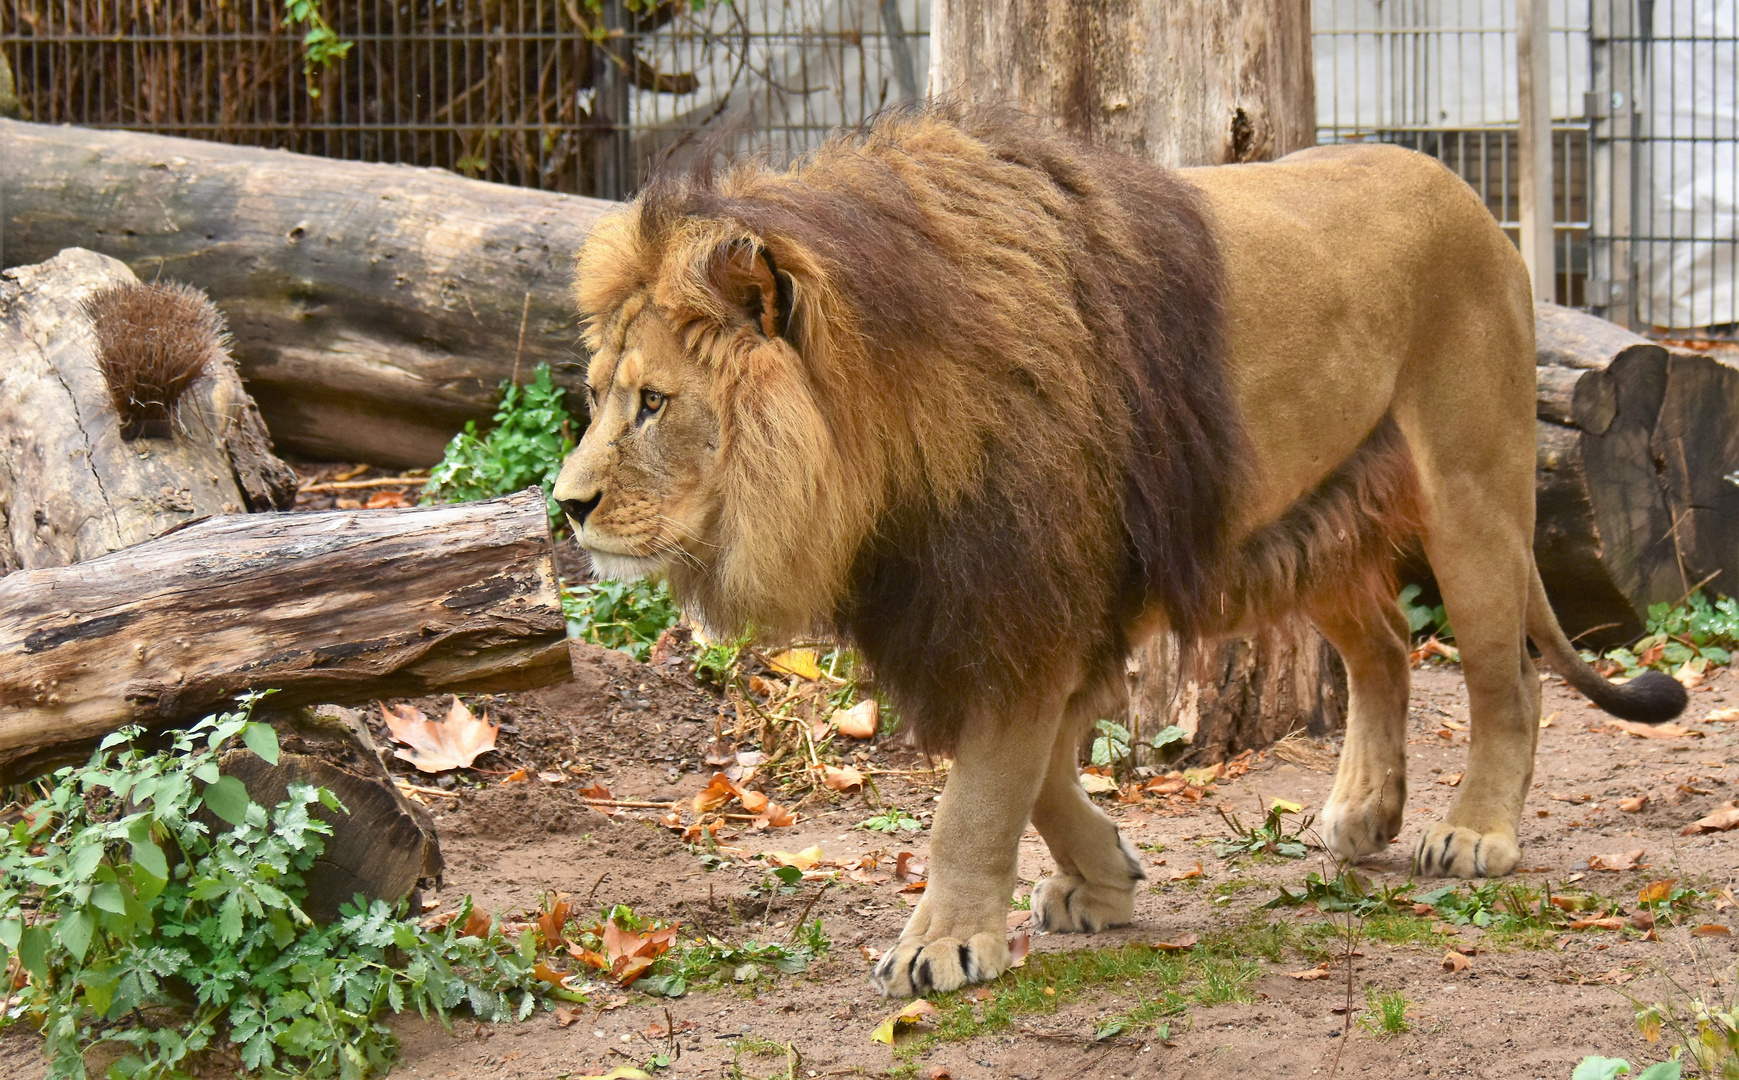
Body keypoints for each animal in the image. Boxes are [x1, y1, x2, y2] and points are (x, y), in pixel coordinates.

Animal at [553, 100, 1683, 994]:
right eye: (601, 394)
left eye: (654, 403)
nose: (565, 506)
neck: (882, 430)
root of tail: (1469, 197)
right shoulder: (1048, 594)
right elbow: (1036, 767)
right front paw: (1098, 878)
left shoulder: (1025, 586)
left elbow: (982, 788)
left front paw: (941, 943)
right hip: (1302, 514)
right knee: (1384, 648)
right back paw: (1364, 813)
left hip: (1472, 491)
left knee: (1504, 676)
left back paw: (1475, 832)